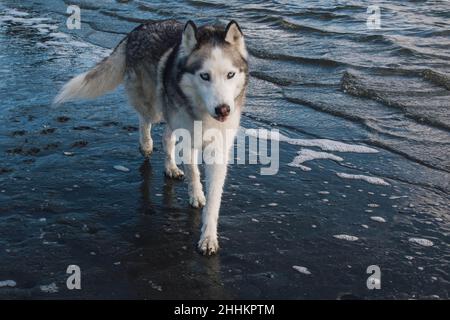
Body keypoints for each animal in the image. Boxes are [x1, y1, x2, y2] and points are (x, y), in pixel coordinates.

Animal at [54, 19, 250, 255]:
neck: (203, 112)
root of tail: (140, 27)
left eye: (230, 75)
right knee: (144, 119)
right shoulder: (188, 136)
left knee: (167, 136)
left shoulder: (218, 147)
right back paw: (146, 144)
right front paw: (196, 194)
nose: (223, 110)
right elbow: (193, 172)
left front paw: (209, 236)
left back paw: (171, 167)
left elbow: (213, 198)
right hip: (153, 105)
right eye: (205, 76)